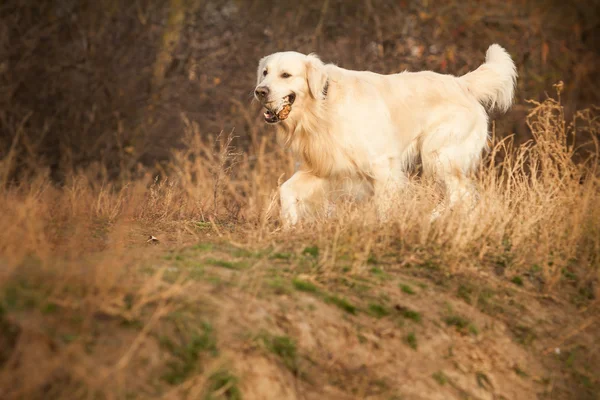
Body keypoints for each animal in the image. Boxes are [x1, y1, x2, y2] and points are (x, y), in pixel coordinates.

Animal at [253, 44, 516, 227]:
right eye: (265, 72)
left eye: (286, 75)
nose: (259, 91)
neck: (322, 106)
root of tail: (462, 83)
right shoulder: (320, 167)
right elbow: (286, 191)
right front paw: (289, 228)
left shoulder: (382, 165)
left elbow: (384, 207)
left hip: (439, 155)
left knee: (462, 195)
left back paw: (431, 220)